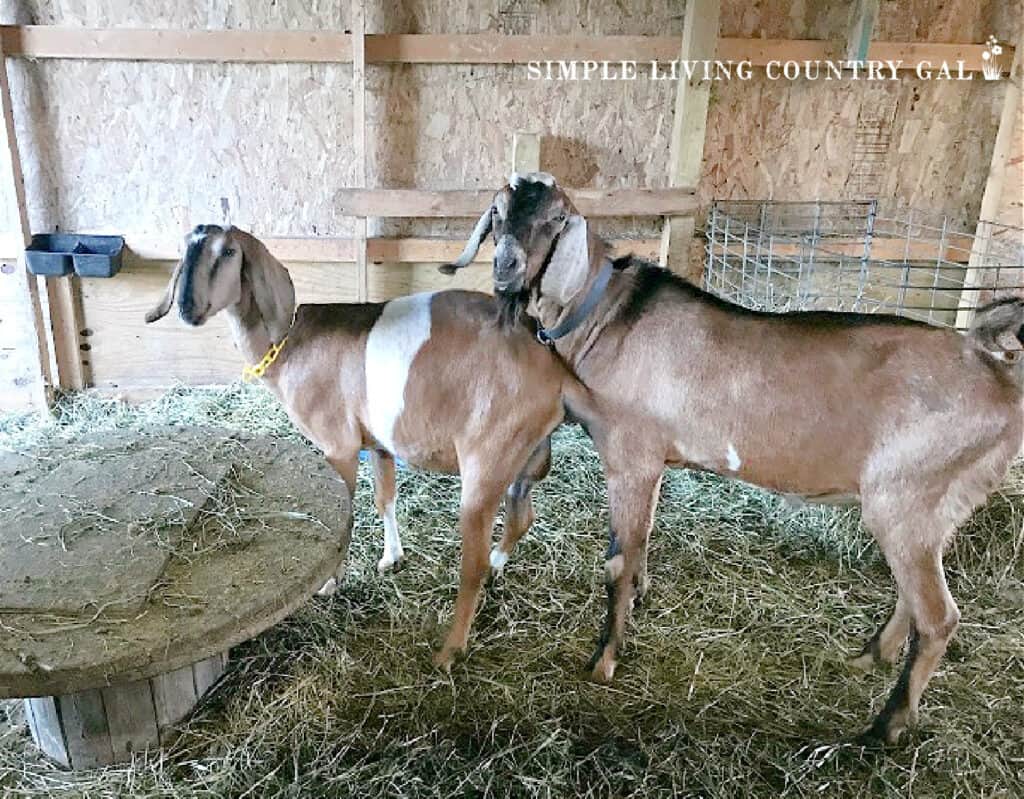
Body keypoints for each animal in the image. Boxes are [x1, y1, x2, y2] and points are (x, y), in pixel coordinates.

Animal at [146, 224, 577, 667]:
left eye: (229, 251)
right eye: (185, 249)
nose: (187, 308)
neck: (291, 342)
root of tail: (556, 373)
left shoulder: (339, 445)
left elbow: (346, 517)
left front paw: (329, 584)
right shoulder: (379, 443)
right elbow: (385, 499)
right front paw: (390, 558)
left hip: (486, 462)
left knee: (471, 562)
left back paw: (450, 649)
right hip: (523, 458)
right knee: (521, 517)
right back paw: (495, 568)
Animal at [446, 173, 1024, 741]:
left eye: (555, 219)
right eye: (497, 213)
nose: (505, 267)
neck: (607, 317)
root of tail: (996, 374)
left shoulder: (631, 454)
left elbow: (617, 562)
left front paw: (603, 660)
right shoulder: (655, 462)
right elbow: (641, 545)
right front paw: (636, 605)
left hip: (906, 495)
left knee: (939, 617)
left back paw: (885, 727)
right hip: (938, 506)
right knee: (916, 594)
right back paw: (870, 656)